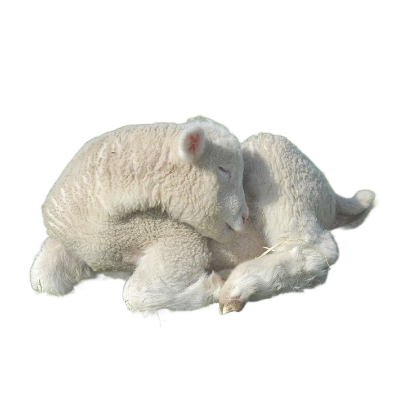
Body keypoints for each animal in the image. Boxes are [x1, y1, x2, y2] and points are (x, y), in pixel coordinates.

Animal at [29, 115, 249, 313]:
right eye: (223, 169)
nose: (246, 217)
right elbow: (43, 280)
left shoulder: (177, 238)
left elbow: (135, 296)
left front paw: (218, 283)